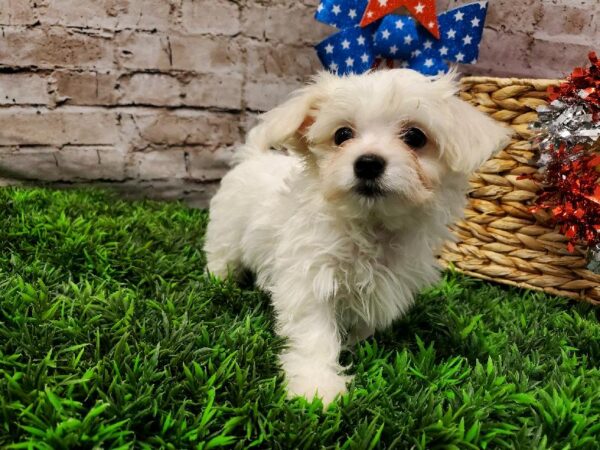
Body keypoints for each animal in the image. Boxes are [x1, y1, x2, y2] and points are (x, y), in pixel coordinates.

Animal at [203, 69, 510, 404]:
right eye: (342, 135)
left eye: (415, 137)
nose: (368, 163)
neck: (368, 224)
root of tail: (253, 157)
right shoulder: (311, 279)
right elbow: (315, 335)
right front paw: (317, 386)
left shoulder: (383, 286)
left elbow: (361, 324)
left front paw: (353, 348)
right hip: (226, 231)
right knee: (221, 257)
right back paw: (219, 282)